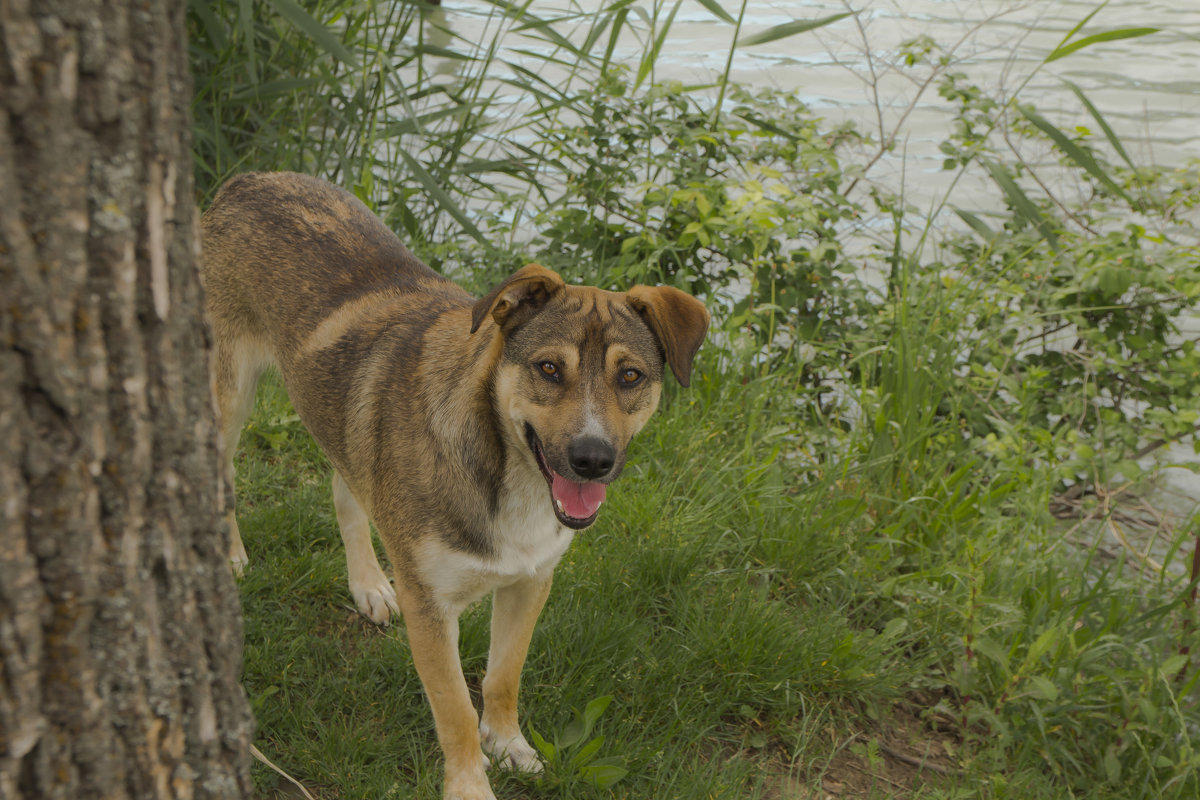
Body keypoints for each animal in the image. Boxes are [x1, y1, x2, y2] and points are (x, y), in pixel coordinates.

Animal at [200, 172, 705, 796]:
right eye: (548, 368)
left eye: (630, 375)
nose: (592, 459)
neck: (507, 475)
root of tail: (248, 179)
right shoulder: (431, 607)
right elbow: (455, 709)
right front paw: (469, 784)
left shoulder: (532, 581)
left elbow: (503, 676)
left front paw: (509, 745)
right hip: (226, 392)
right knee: (219, 473)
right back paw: (231, 554)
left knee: (347, 489)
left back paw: (369, 583)